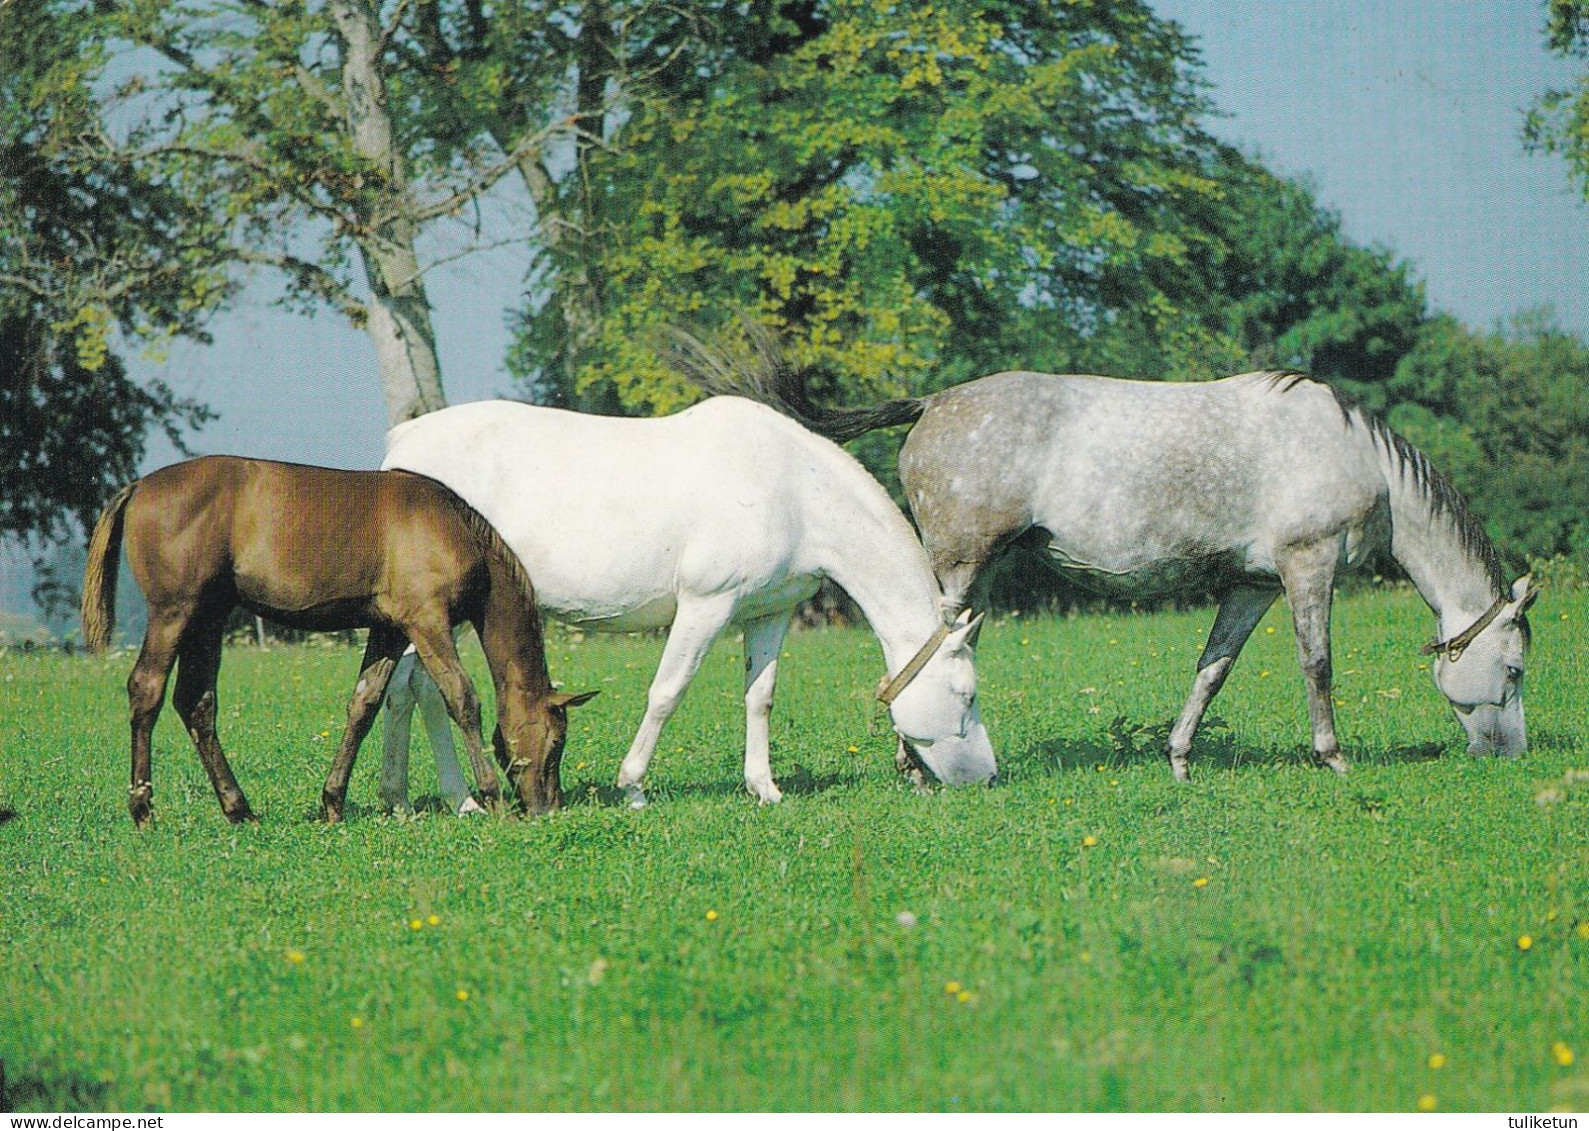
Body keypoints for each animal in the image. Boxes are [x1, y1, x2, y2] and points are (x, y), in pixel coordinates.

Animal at [373, 395, 991, 803]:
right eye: (966, 695)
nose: (986, 776)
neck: (793, 491)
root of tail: (402, 444)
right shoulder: (706, 605)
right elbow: (666, 693)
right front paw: (633, 788)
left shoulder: (769, 612)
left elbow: (760, 696)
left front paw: (764, 789)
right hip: (440, 618)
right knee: (422, 694)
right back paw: (455, 800)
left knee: (408, 693)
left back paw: (407, 799)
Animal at [686, 362, 1538, 778]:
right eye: (1516, 668)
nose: (1506, 754)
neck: (1356, 459)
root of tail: (931, 402)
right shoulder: (1308, 566)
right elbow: (1317, 663)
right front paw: (1332, 758)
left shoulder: (1252, 585)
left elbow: (1211, 668)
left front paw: (1180, 759)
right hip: (958, 565)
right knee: (917, 654)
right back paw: (915, 767)